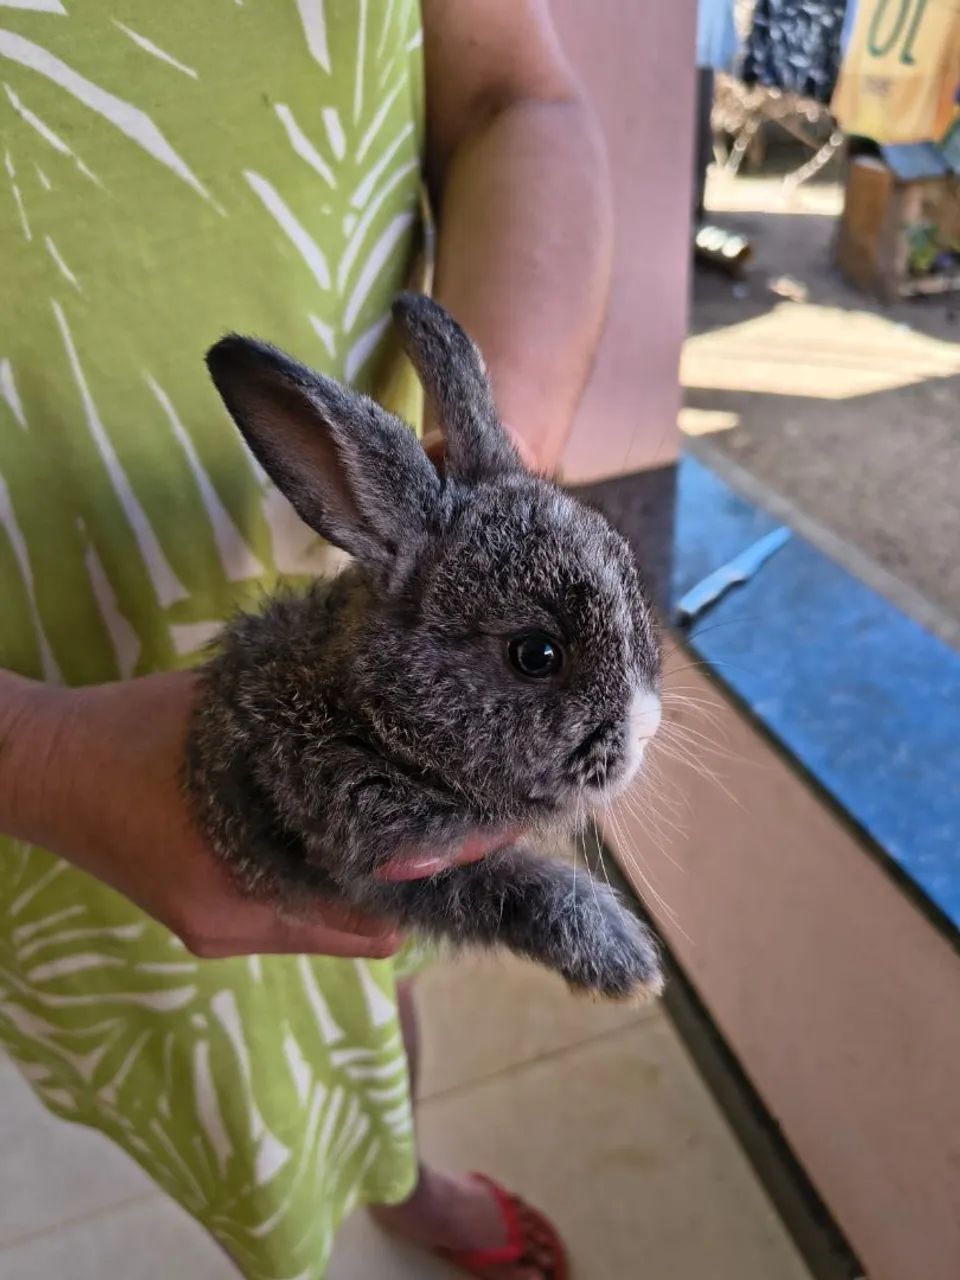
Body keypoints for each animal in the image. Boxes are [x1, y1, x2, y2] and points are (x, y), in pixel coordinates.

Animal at [185, 293, 665, 1002]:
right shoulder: (381, 865)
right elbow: (518, 889)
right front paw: (627, 960)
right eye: (537, 655)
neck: (375, 719)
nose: (646, 727)